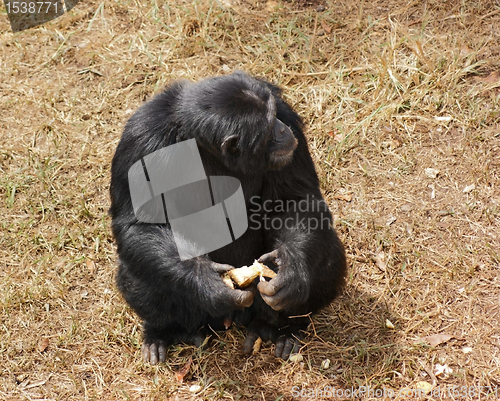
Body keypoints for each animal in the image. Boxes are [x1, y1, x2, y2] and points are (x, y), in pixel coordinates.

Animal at [108, 71, 348, 362]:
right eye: (269, 126)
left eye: (275, 115)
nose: (282, 129)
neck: (201, 144)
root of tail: (235, 318)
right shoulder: (139, 140)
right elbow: (138, 223)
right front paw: (207, 282)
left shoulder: (285, 110)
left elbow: (295, 198)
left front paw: (290, 270)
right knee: (137, 270)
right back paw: (166, 332)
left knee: (328, 252)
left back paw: (281, 329)